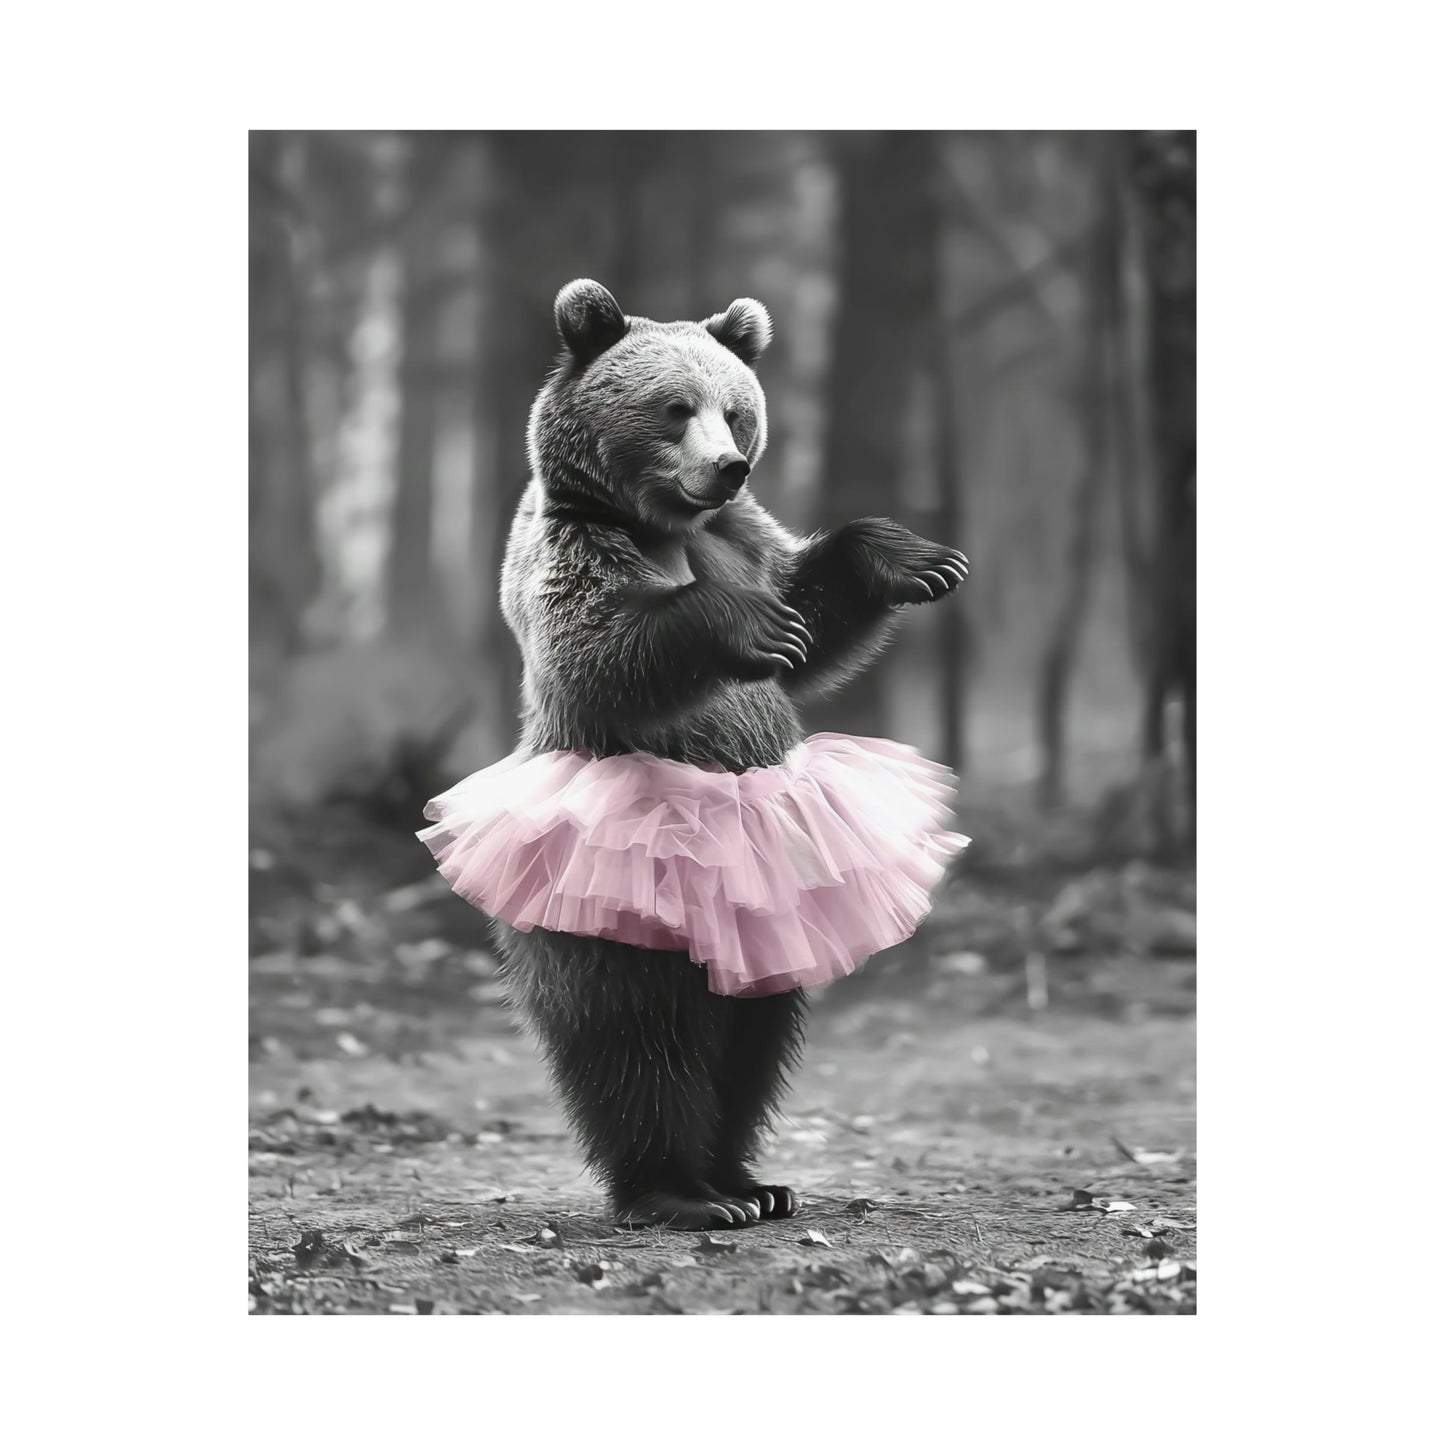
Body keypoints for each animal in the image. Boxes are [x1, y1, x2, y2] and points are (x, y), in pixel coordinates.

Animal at [490, 279, 967, 1229]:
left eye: (736, 410)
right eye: (674, 409)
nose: (728, 467)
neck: (662, 522)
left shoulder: (740, 538)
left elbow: (810, 615)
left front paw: (915, 560)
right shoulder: (571, 548)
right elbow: (603, 647)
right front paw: (744, 623)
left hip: (777, 897)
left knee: (757, 1027)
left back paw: (750, 1181)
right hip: (610, 893)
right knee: (635, 1026)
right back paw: (679, 1191)